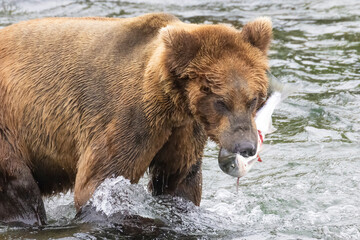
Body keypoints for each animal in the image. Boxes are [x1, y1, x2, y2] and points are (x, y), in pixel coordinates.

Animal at [0, 13, 272, 225]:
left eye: (254, 99)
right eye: (221, 101)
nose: (246, 146)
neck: (171, 102)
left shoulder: (183, 131)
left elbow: (179, 180)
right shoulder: (129, 119)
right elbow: (98, 184)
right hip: (9, 129)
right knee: (19, 186)